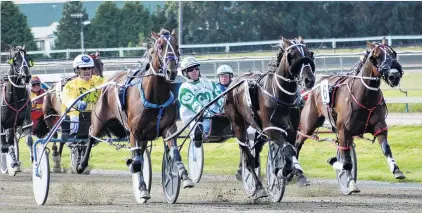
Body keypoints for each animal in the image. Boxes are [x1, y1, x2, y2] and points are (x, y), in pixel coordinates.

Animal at [75, 28, 193, 201]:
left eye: (177, 46)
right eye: (160, 46)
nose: (171, 71)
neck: (155, 97)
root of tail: (108, 83)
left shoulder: (168, 129)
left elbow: (175, 154)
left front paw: (185, 177)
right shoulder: (134, 132)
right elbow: (137, 162)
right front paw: (142, 189)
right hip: (99, 121)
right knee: (91, 135)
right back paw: (81, 164)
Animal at [226, 36, 314, 198]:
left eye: (309, 53)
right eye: (292, 55)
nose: (309, 80)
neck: (281, 96)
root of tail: (234, 83)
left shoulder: (291, 131)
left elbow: (290, 150)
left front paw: (285, 171)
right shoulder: (271, 129)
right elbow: (288, 150)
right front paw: (281, 172)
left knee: (256, 147)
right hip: (237, 123)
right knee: (246, 153)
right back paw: (259, 187)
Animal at [296, 40, 404, 194]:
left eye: (393, 53)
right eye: (376, 57)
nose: (394, 75)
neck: (364, 96)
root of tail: (314, 88)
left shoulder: (379, 126)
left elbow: (386, 148)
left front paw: (396, 170)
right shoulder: (343, 131)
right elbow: (346, 162)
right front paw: (343, 173)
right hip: (307, 125)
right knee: (297, 143)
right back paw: (297, 174)